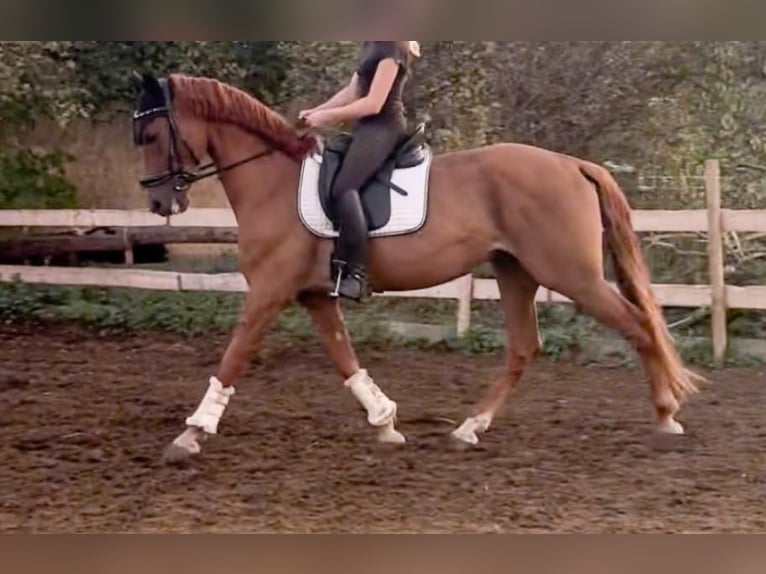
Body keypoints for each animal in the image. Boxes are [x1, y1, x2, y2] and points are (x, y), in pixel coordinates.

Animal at [131, 72, 702, 462]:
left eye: (152, 136)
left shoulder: (269, 292)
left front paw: (190, 434)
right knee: (524, 348)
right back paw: (469, 428)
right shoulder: (314, 296)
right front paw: (385, 423)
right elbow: (345, 358)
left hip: (571, 275)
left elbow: (233, 358)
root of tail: (573, 164)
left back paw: (665, 417)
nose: (160, 203)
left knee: (639, 325)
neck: (272, 181)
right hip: (515, 271)